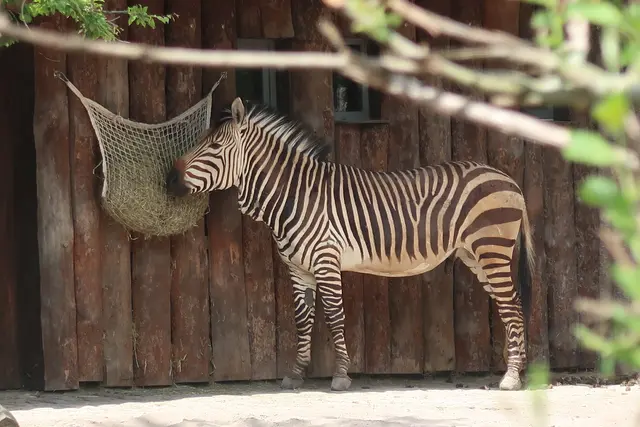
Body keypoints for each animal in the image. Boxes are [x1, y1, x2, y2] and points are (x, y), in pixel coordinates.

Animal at [166, 97, 534, 392]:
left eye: (214, 148)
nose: (169, 179)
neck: (294, 195)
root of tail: (509, 179)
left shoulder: (326, 259)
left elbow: (334, 316)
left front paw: (341, 375)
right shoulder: (298, 268)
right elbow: (303, 320)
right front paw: (296, 374)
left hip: (491, 248)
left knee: (512, 307)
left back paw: (511, 377)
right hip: (477, 254)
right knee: (512, 305)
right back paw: (515, 368)